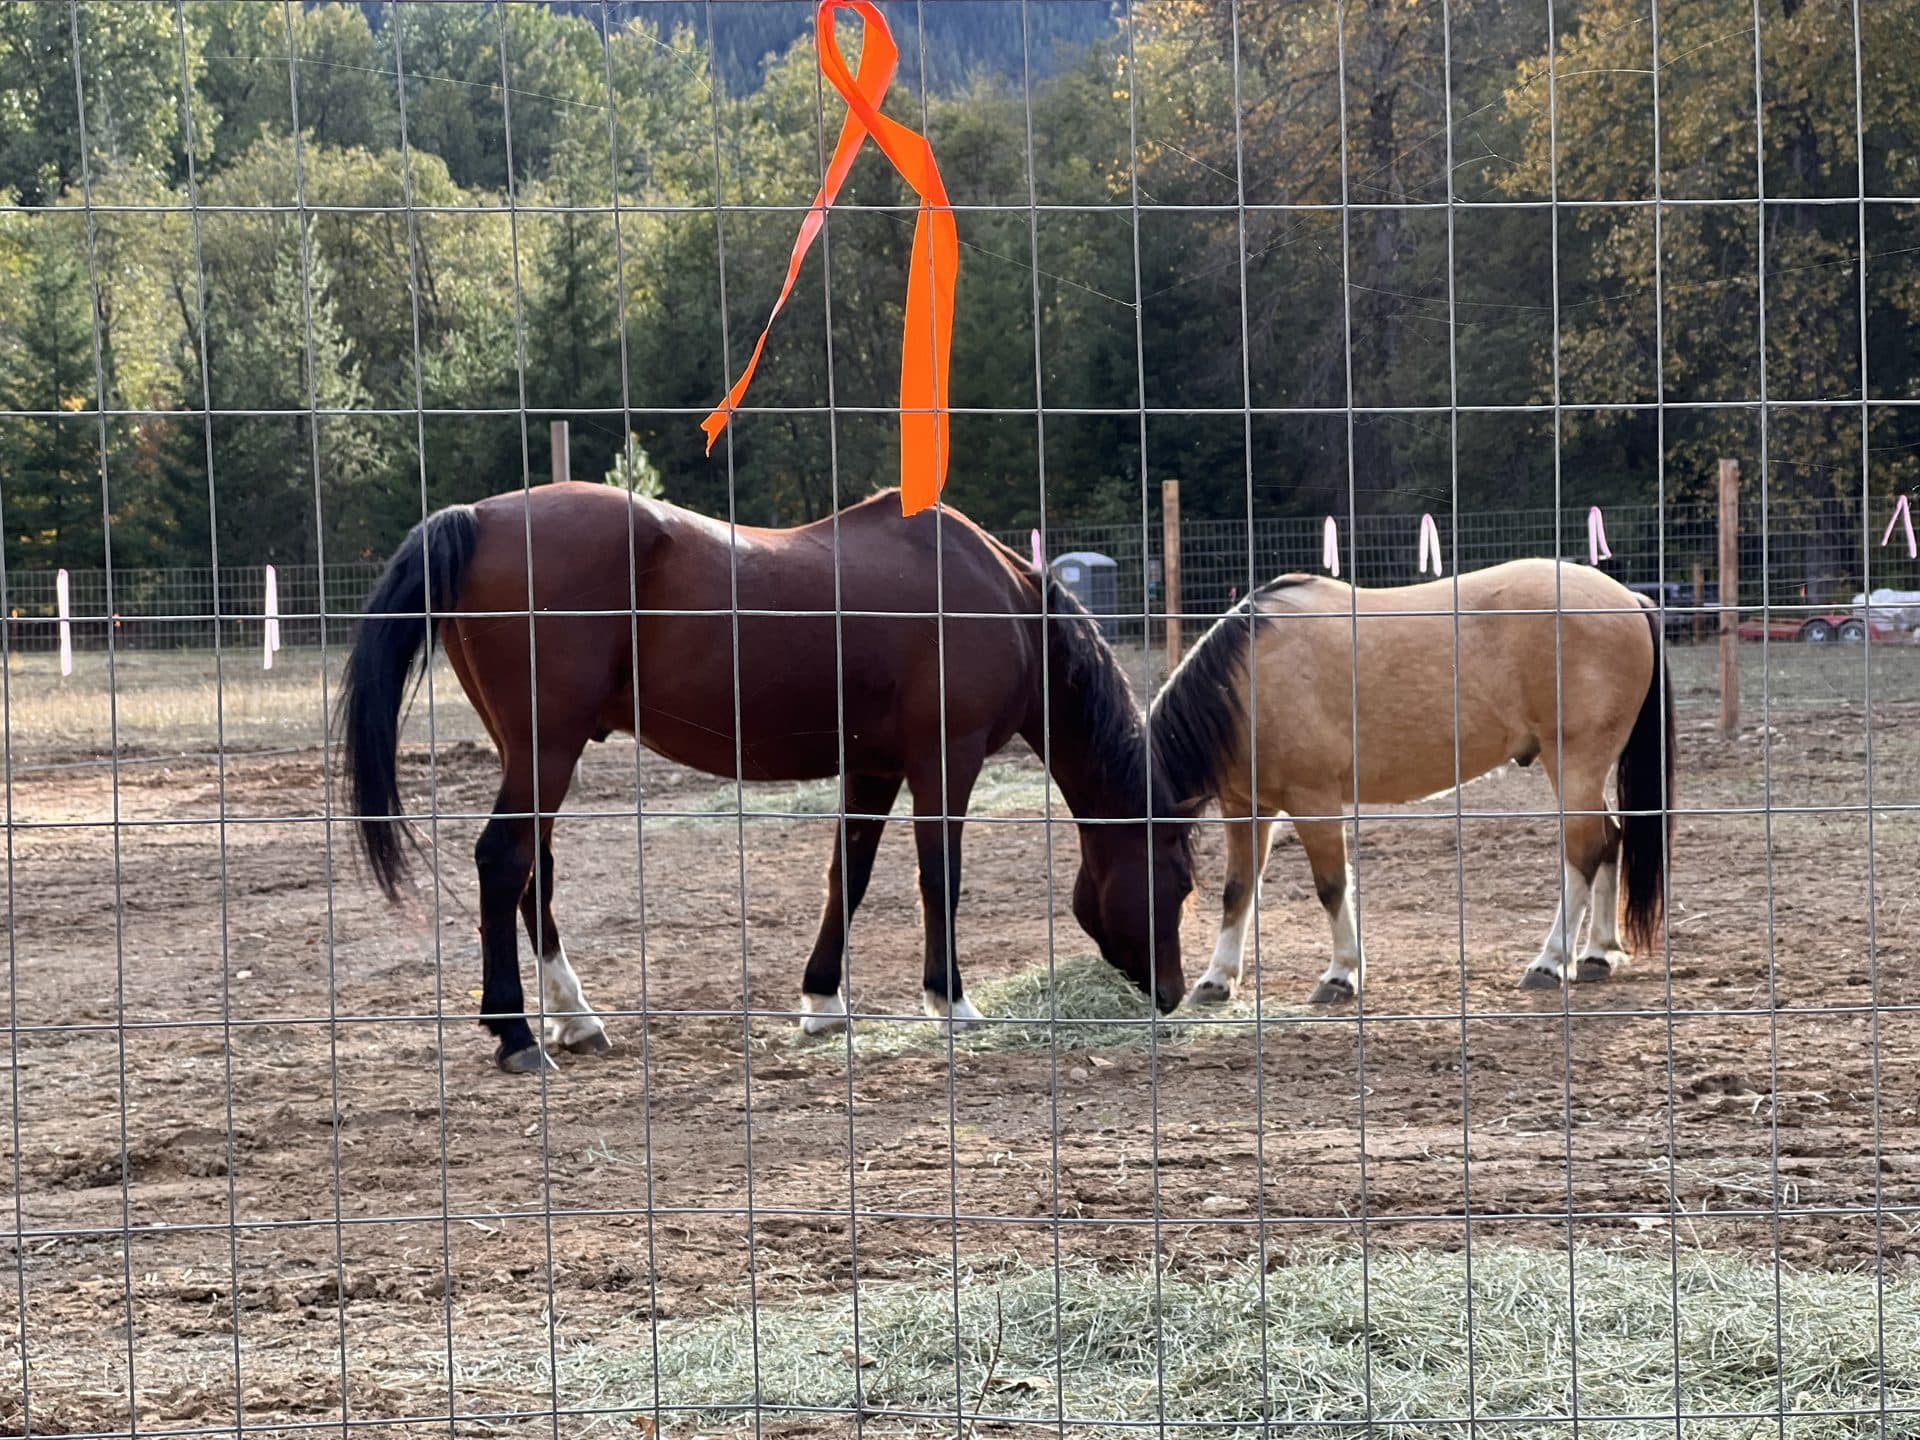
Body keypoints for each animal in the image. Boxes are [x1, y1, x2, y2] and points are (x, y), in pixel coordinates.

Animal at [340, 483, 1195, 1072]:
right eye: (1181, 882)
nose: (1174, 995)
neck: (1000, 603)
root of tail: (479, 517)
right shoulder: (944, 762)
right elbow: (939, 880)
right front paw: (951, 1003)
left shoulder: (874, 768)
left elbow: (847, 876)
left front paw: (822, 1000)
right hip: (545, 749)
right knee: (503, 862)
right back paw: (517, 1034)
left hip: (533, 752)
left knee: (533, 874)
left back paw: (576, 1017)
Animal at [1149, 558, 1674, 1005]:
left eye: (1176, 886)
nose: (1162, 994)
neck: (1247, 682)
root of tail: (1630, 599)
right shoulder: (1246, 805)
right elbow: (1238, 889)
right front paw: (1216, 979)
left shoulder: (1314, 800)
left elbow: (1331, 885)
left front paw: (1342, 974)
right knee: (1610, 838)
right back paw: (1596, 954)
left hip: (1574, 762)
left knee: (1584, 850)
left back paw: (1550, 962)